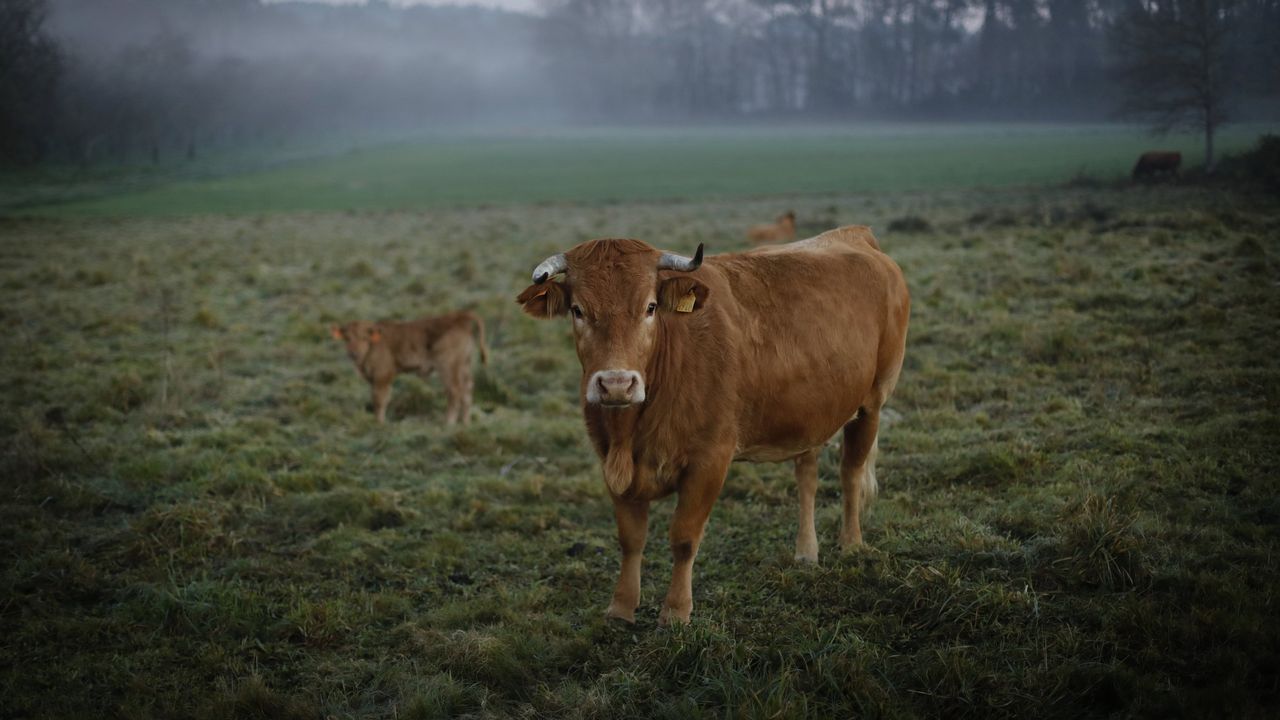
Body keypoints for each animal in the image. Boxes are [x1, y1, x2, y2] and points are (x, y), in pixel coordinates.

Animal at [330, 311, 488, 425]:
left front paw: (379, 423)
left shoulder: (382, 377)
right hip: (464, 366)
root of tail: (459, 317)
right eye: (347, 338)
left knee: (454, 391)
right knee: (467, 391)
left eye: (364, 338)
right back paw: (466, 423)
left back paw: (448, 423)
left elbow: (380, 400)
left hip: (448, 367)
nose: (353, 354)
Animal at [516, 226, 910, 625]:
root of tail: (855, 236)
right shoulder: (610, 461)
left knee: (851, 472)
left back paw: (851, 543)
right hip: (810, 415)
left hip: (872, 402)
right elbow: (630, 537)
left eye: (650, 307)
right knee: (808, 477)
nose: (615, 384)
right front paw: (622, 607)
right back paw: (806, 552)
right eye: (578, 310)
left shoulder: (709, 462)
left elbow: (684, 537)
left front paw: (676, 611)